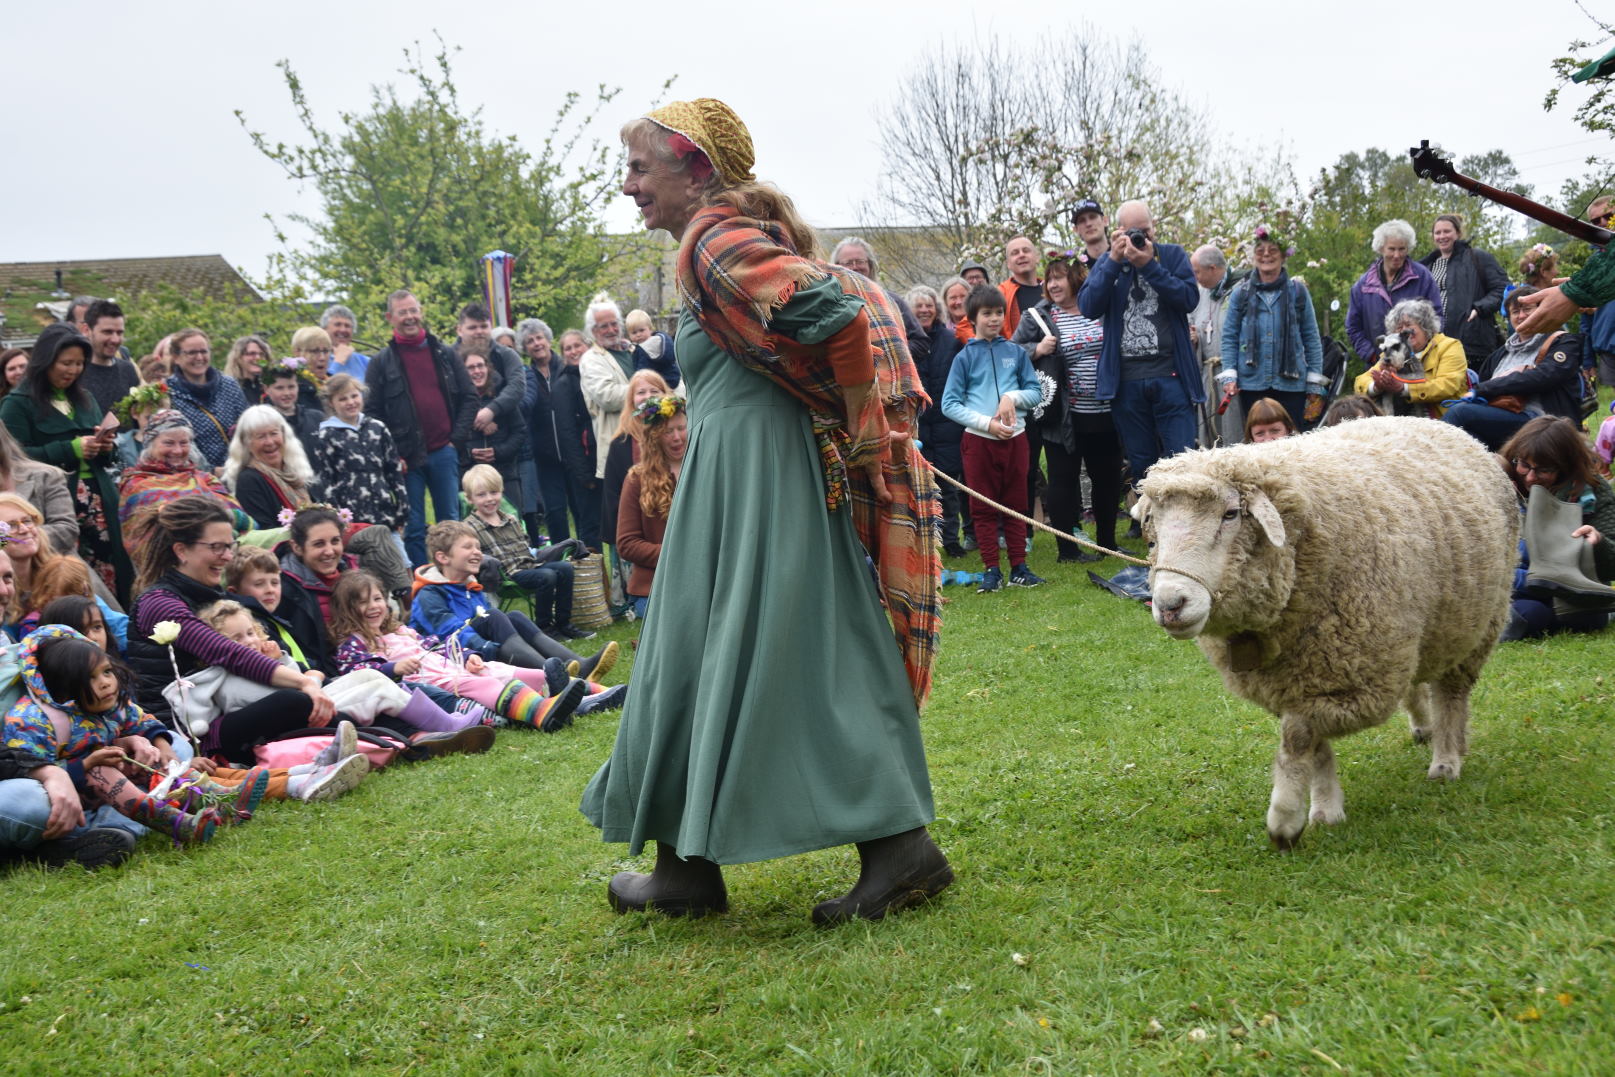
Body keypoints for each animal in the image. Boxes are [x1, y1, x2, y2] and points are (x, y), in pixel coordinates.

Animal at [1136, 416, 1511, 846]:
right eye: (1152, 525)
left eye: (1231, 514)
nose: (1170, 605)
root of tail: (1436, 423)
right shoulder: (1302, 679)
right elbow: (1315, 748)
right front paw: (1325, 808)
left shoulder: (1358, 681)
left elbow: (1298, 735)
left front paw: (1285, 817)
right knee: (1418, 682)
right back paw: (1424, 726)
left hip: (1475, 624)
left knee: (1451, 693)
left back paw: (1447, 759)